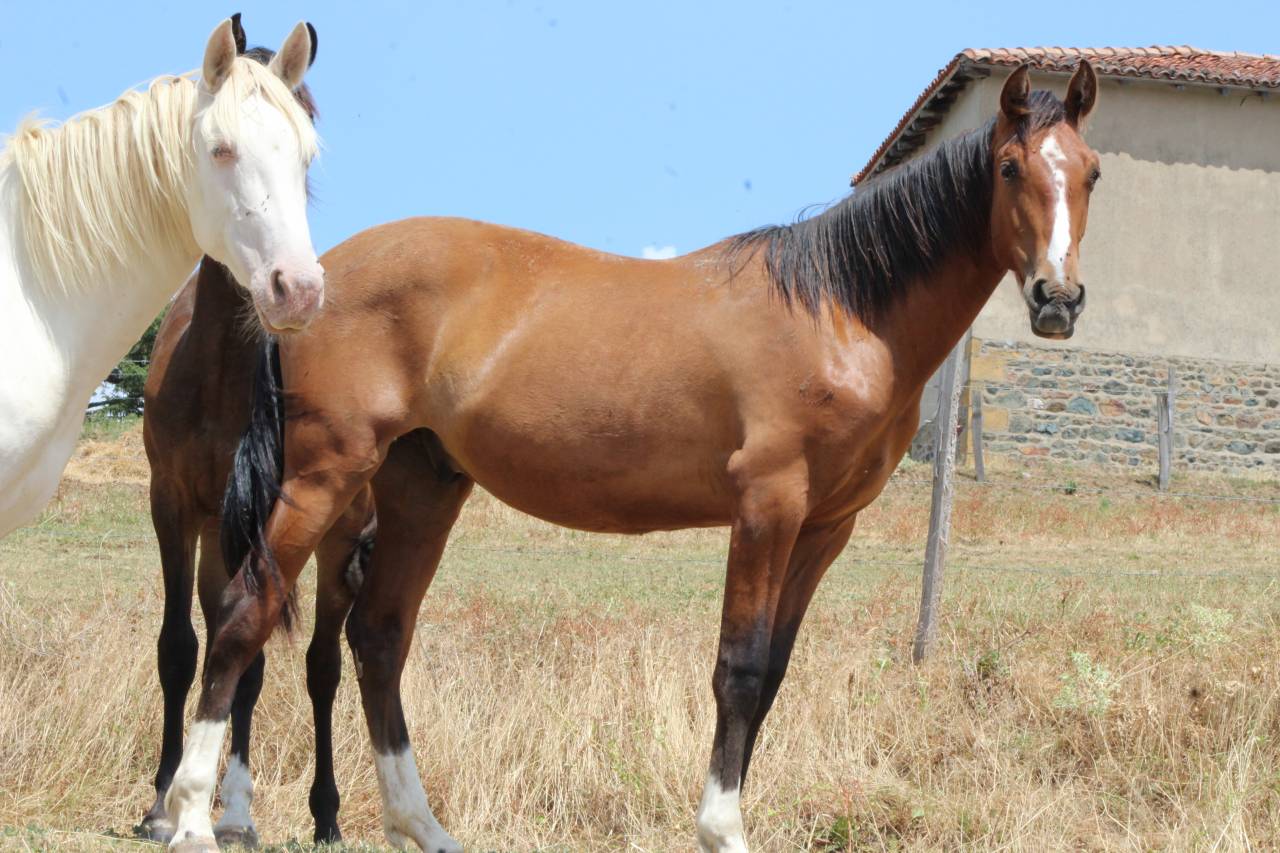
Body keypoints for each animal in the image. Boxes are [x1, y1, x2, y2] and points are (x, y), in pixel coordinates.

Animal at [135, 35, 375, 847]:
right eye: (222, 149)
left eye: (306, 154)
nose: (294, 288)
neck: (213, 365)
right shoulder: (174, 504)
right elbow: (182, 647)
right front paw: (159, 803)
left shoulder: (274, 516)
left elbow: (252, 654)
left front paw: (217, 804)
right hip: (221, 530)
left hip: (337, 536)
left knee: (319, 666)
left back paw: (311, 812)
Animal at [166, 62, 1101, 852]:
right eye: (1009, 168)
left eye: (1090, 172)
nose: (1057, 299)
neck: (839, 312)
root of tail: (311, 280)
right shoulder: (767, 508)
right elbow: (739, 667)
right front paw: (722, 827)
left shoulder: (825, 528)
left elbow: (773, 673)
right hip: (324, 475)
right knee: (246, 614)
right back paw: (193, 816)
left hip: (422, 484)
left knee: (379, 636)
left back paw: (419, 824)